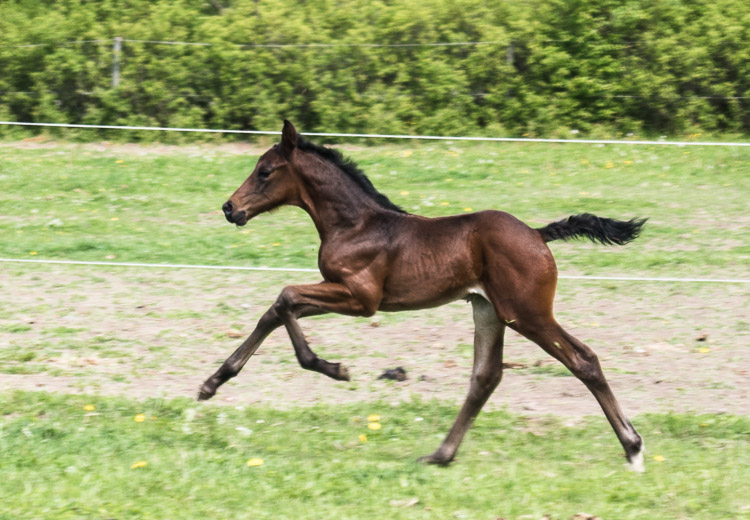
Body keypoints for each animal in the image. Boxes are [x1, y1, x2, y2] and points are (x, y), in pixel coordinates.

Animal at [198, 120, 648, 470]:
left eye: (265, 171)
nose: (230, 208)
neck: (355, 224)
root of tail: (537, 235)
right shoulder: (343, 293)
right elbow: (276, 309)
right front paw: (212, 383)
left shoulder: (361, 299)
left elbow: (286, 296)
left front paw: (334, 369)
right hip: (488, 310)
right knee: (486, 376)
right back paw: (440, 455)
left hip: (527, 313)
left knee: (582, 359)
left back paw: (633, 447)